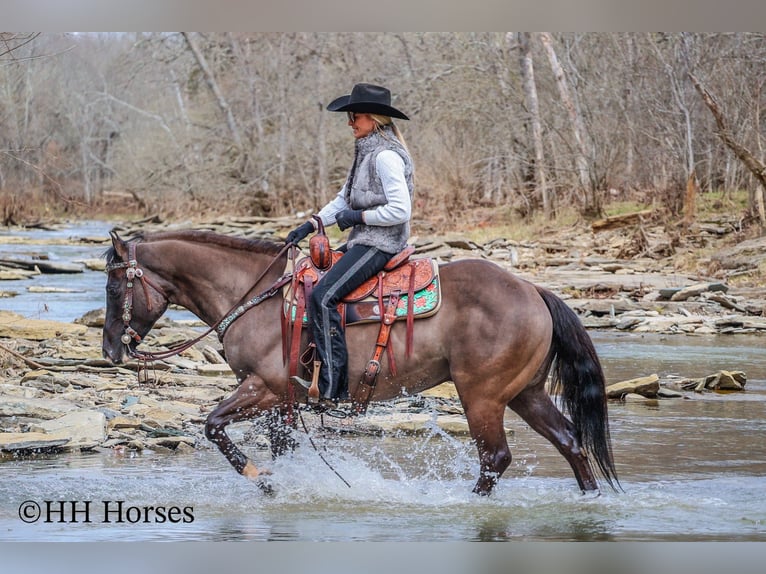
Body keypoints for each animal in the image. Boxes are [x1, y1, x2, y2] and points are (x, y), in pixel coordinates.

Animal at [102, 229, 619, 496]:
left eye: (113, 285)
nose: (110, 351)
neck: (256, 298)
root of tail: (532, 290)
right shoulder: (280, 402)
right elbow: (281, 447)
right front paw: (278, 485)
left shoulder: (264, 387)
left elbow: (212, 425)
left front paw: (258, 476)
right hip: (525, 393)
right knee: (570, 440)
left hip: (482, 397)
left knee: (495, 458)